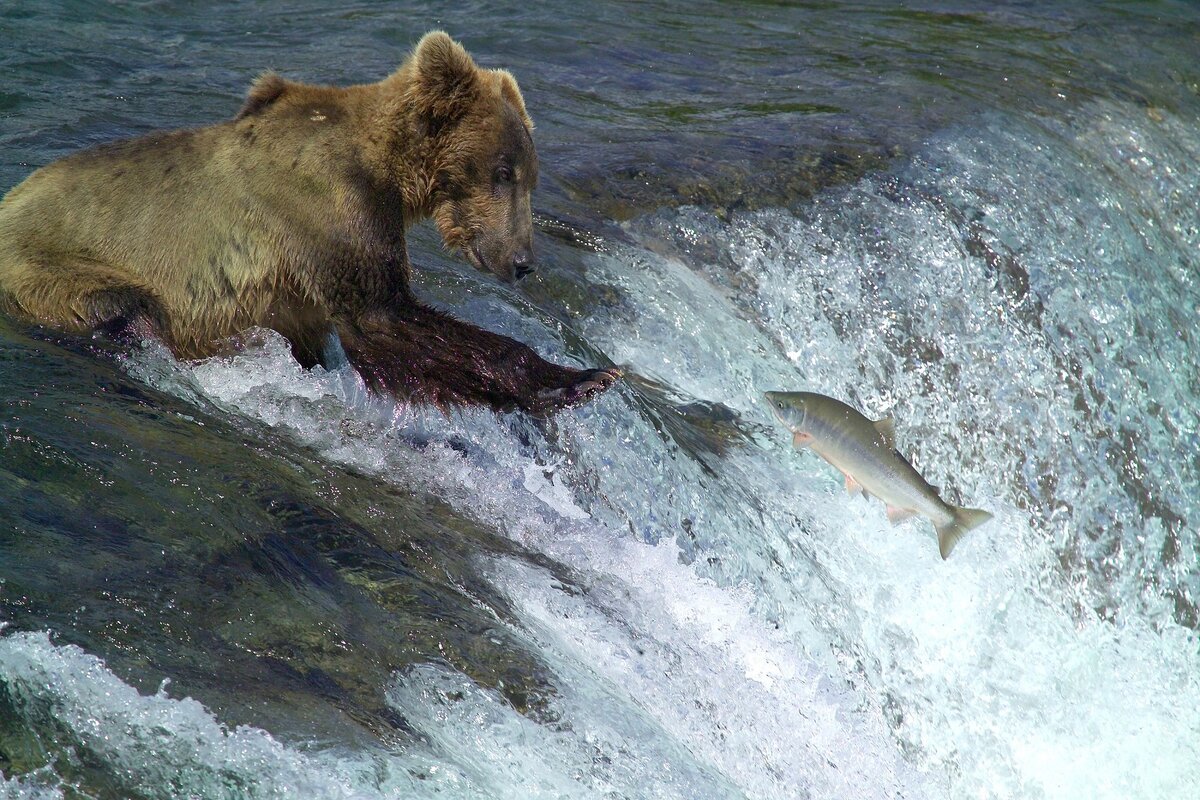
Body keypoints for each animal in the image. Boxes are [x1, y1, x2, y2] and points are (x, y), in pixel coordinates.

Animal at [0, 31, 618, 414]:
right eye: (502, 171)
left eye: (529, 178)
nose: (523, 261)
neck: (387, 173)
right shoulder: (327, 214)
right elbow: (385, 318)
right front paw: (578, 379)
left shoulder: (302, 283)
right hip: (51, 268)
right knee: (125, 308)